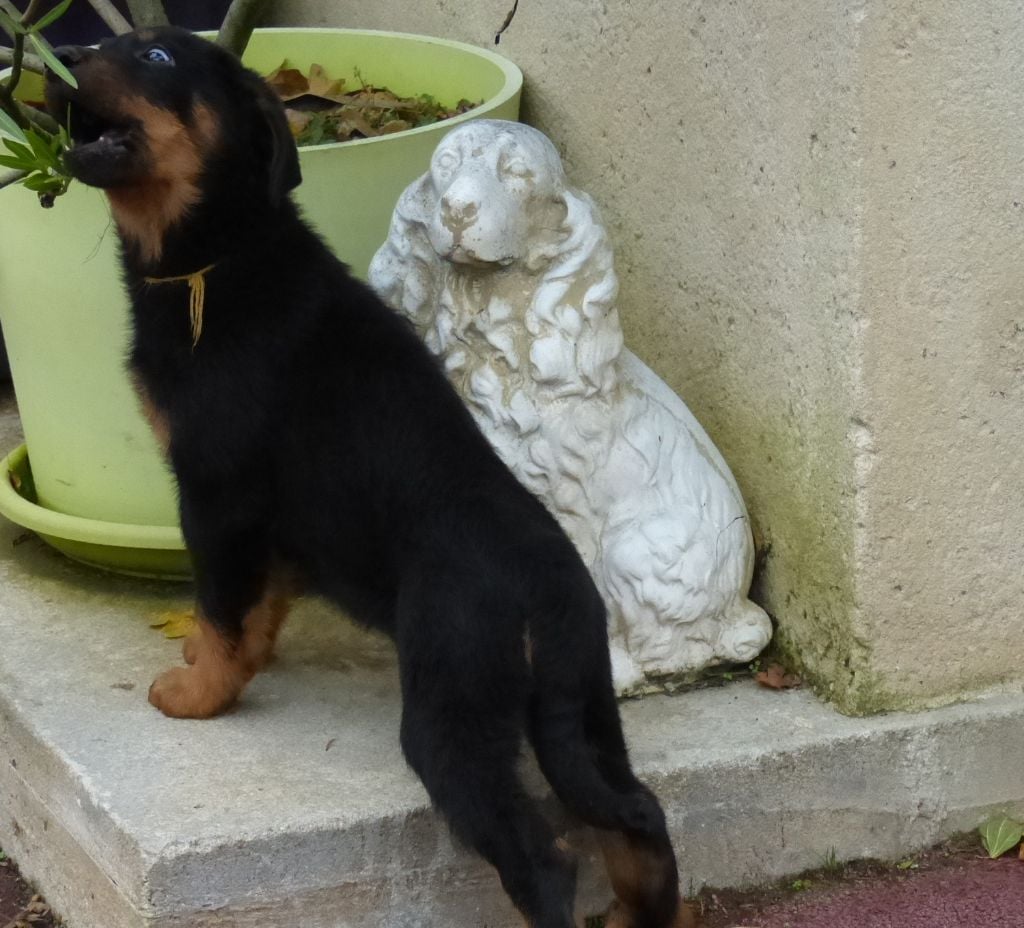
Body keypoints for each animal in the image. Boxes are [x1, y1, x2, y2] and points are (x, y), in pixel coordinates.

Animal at [45, 28, 692, 928]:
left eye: (157, 58)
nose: (62, 54)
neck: (224, 255)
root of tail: (547, 599)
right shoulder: (274, 519)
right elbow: (259, 602)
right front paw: (237, 664)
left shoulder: (217, 490)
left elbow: (219, 602)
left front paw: (201, 692)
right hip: (583, 710)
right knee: (634, 812)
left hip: (453, 706)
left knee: (543, 858)